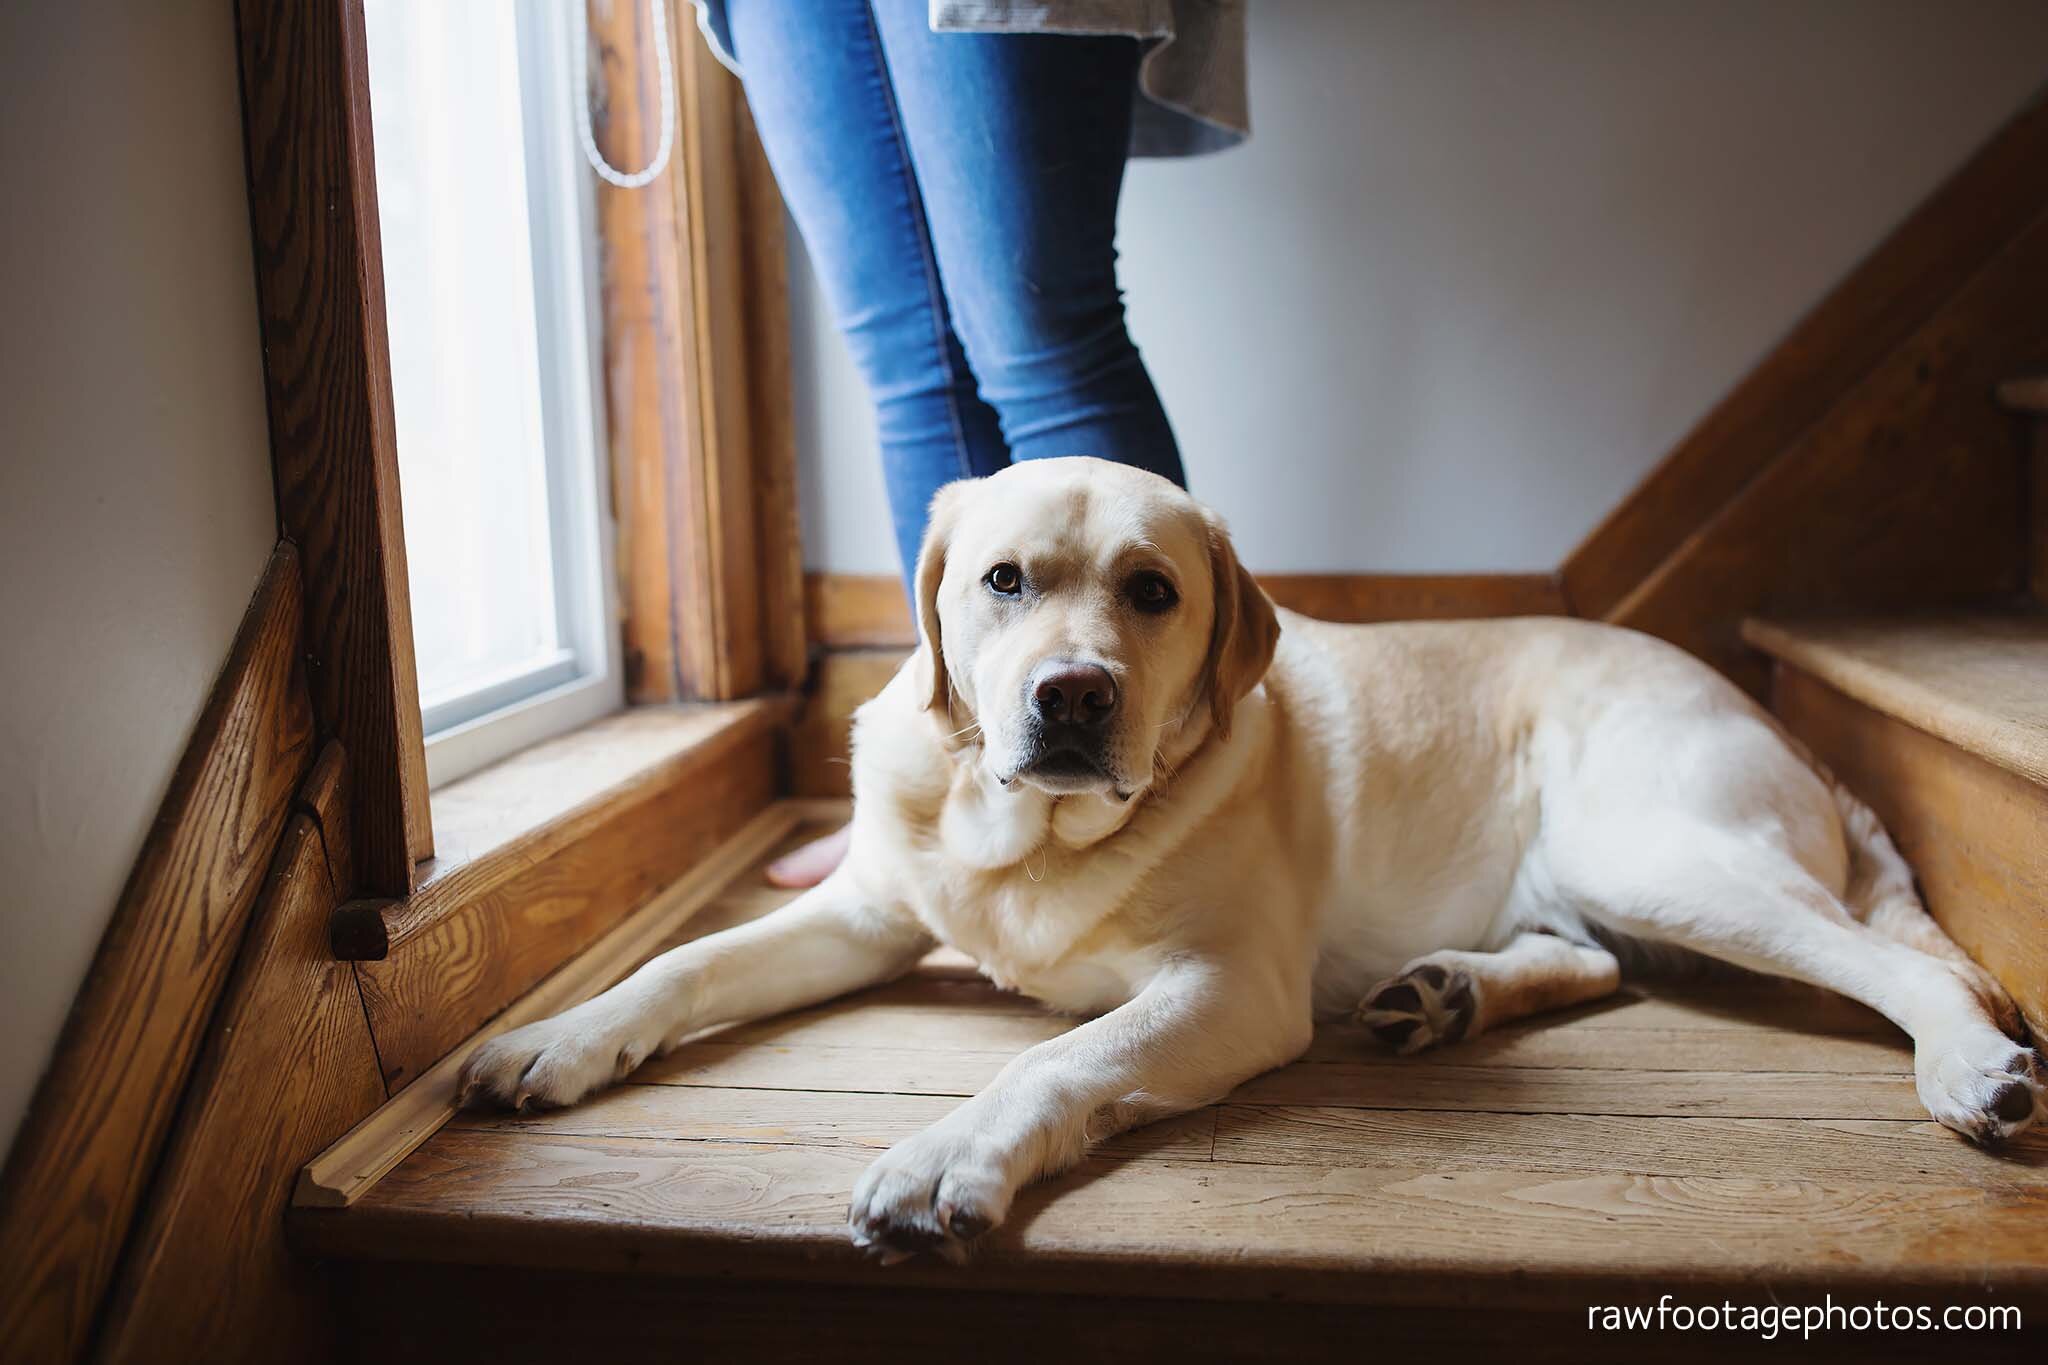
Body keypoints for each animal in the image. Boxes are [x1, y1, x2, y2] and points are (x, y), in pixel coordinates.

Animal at [456, 456, 2039, 1260]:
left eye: (1153, 592)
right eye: (1002, 581)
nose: (1071, 697)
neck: (1027, 837)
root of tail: (1775, 719)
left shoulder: (1226, 987)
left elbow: (1055, 1061)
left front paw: (947, 1152)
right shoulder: (862, 914)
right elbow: (684, 961)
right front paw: (558, 1036)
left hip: (1660, 850)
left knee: (1901, 963)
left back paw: (1973, 1068)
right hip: (1612, 881)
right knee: (1588, 958)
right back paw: (1446, 991)